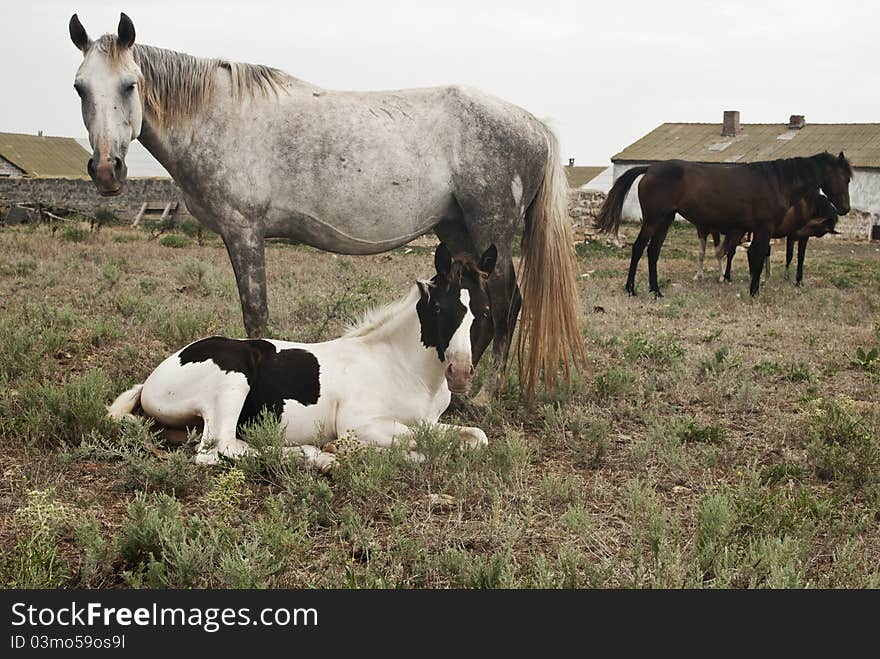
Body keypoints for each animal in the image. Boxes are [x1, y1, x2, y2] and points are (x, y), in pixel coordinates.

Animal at [69, 12, 588, 398]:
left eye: (129, 85)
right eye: (80, 87)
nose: (107, 170)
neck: (219, 116)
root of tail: (534, 125)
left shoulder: (244, 231)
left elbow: (254, 312)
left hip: (490, 232)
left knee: (506, 303)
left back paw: (491, 390)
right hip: (457, 232)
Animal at [107, 245, 496, 472]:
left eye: (485, 311)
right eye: (439, 308)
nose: (460, 373)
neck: (402, 366)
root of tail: (152, 381)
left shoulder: (430, 421)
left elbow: (474, 437)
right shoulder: (360, 422)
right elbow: (411, 441)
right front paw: (345, 448)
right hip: (232, 380)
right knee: (217, 449)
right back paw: (318, 455)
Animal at [596, 152, 848, 296]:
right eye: (845, 177)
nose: (844, 208)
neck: (776, 182)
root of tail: (650, 168)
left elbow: (752, 257)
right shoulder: (763, 228)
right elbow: (756, 258)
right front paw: (754, 292)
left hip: (665, 219)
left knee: (653, 251)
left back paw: (655, 290)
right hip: (653, 219)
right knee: (639, 248)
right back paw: (631, 289)